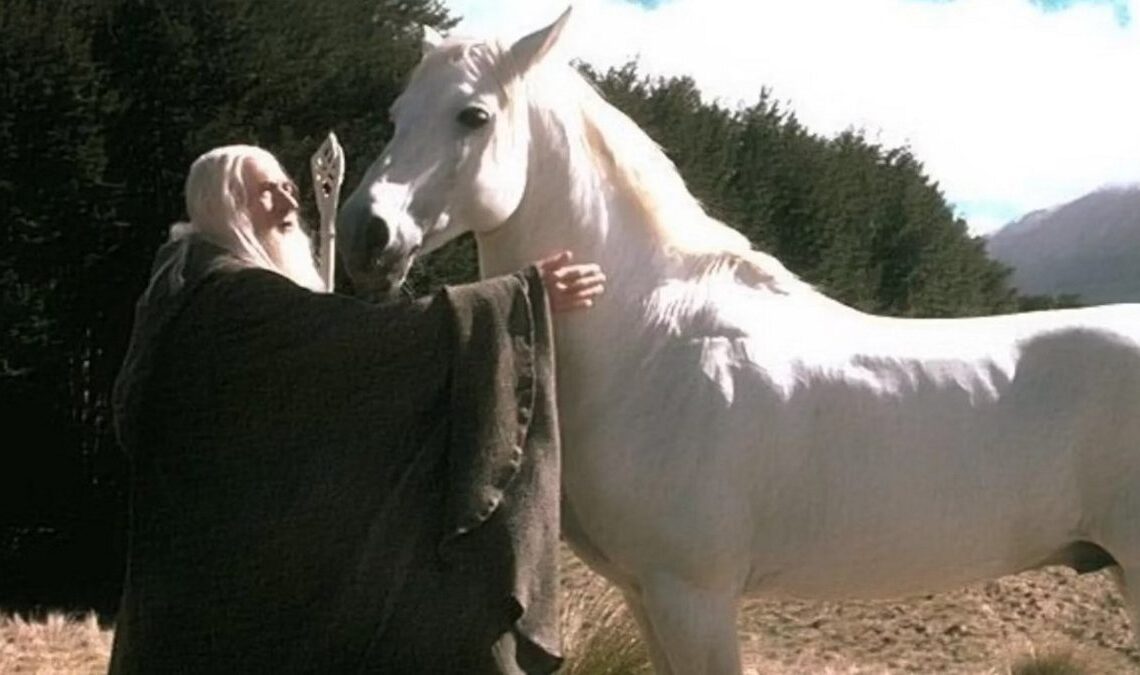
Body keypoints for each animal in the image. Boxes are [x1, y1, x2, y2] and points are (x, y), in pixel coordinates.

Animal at [336, 9, 1140, 673]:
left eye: (473, 115)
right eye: (397, 114)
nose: (365, 234)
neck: (649, 342)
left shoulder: (694, 596)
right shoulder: (646, 593)